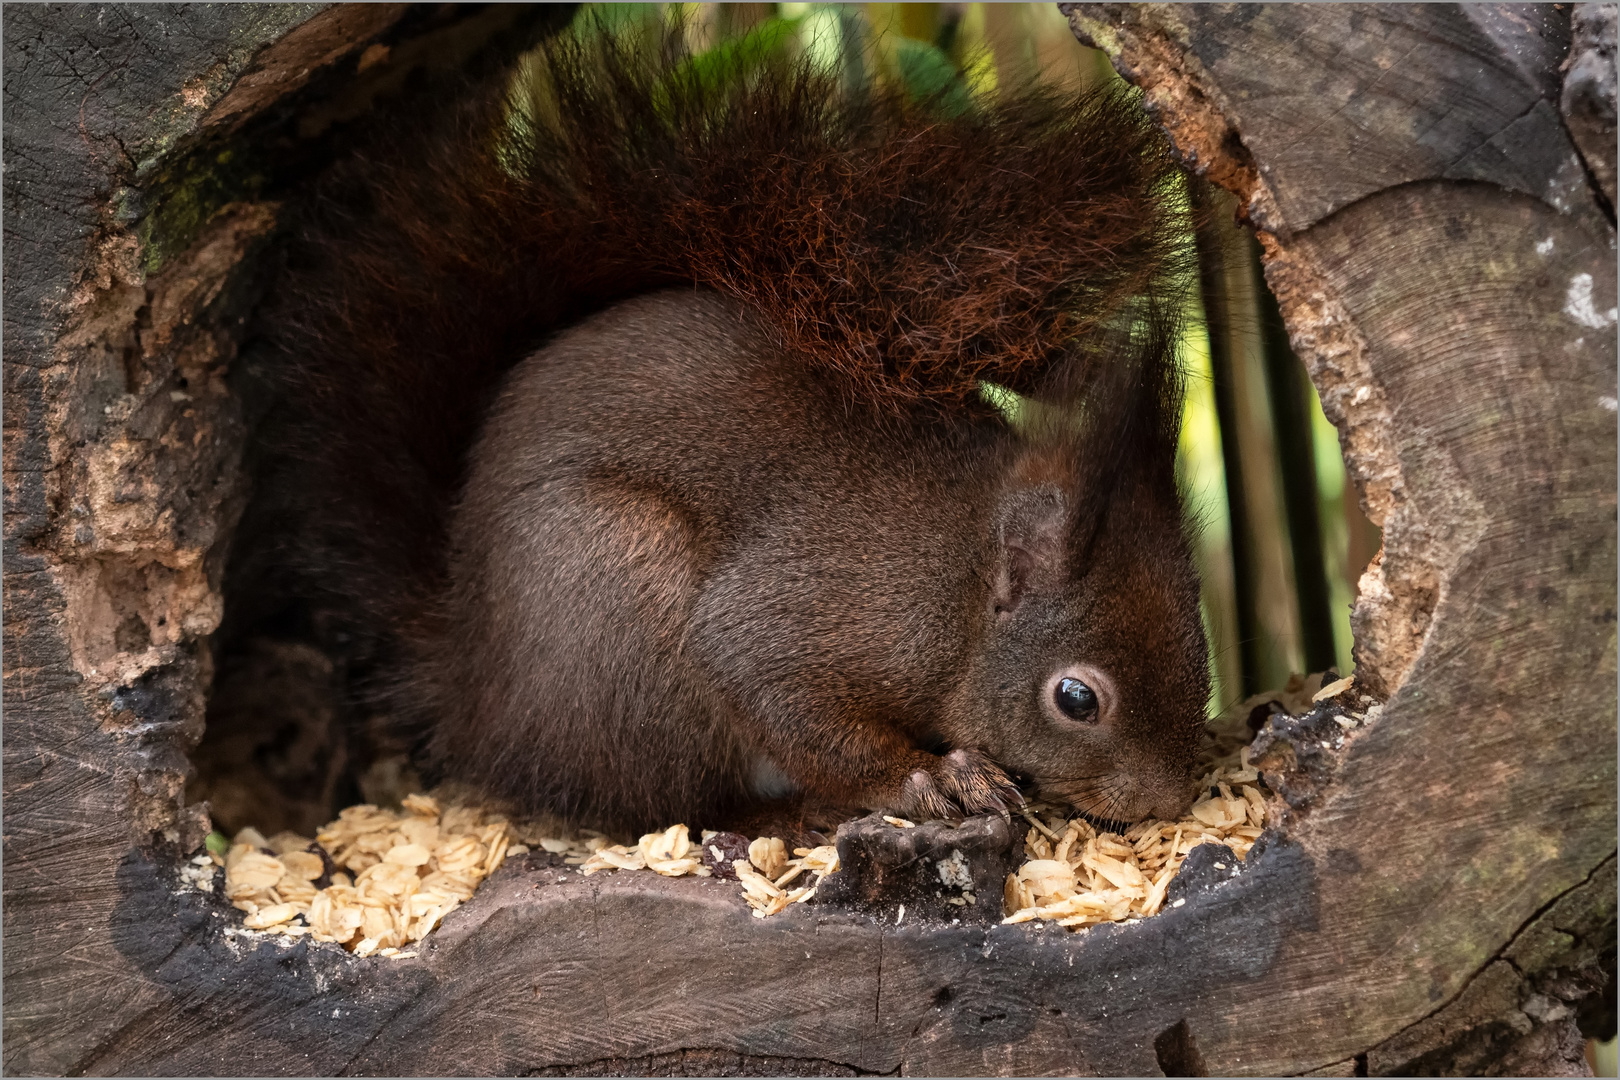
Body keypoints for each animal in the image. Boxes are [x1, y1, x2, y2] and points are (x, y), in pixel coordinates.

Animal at [259, 21, 1211, 841]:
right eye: (1076, 700)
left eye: (1201, 638)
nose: (1167, 800)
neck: (960, 585)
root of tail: (476, 694)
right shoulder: (826, 610)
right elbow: (767, 681)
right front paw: (932, 779)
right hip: (613, 594)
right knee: (663, 802)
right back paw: (783, 815)